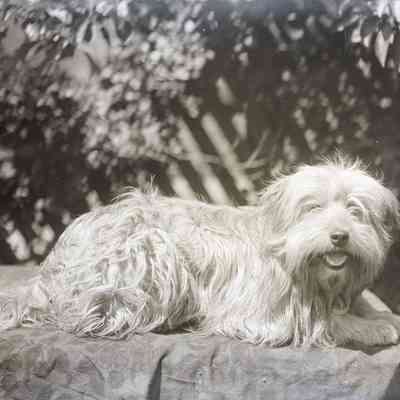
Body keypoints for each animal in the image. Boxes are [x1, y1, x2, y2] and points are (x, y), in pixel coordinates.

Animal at [2, 155, 400, 347]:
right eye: (313, 208)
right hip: (150, 248)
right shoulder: (260, 316)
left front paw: (380, 316)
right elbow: (325, 322)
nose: (339, 236)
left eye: (355, 210)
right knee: (92, 313)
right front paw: (374, 328)